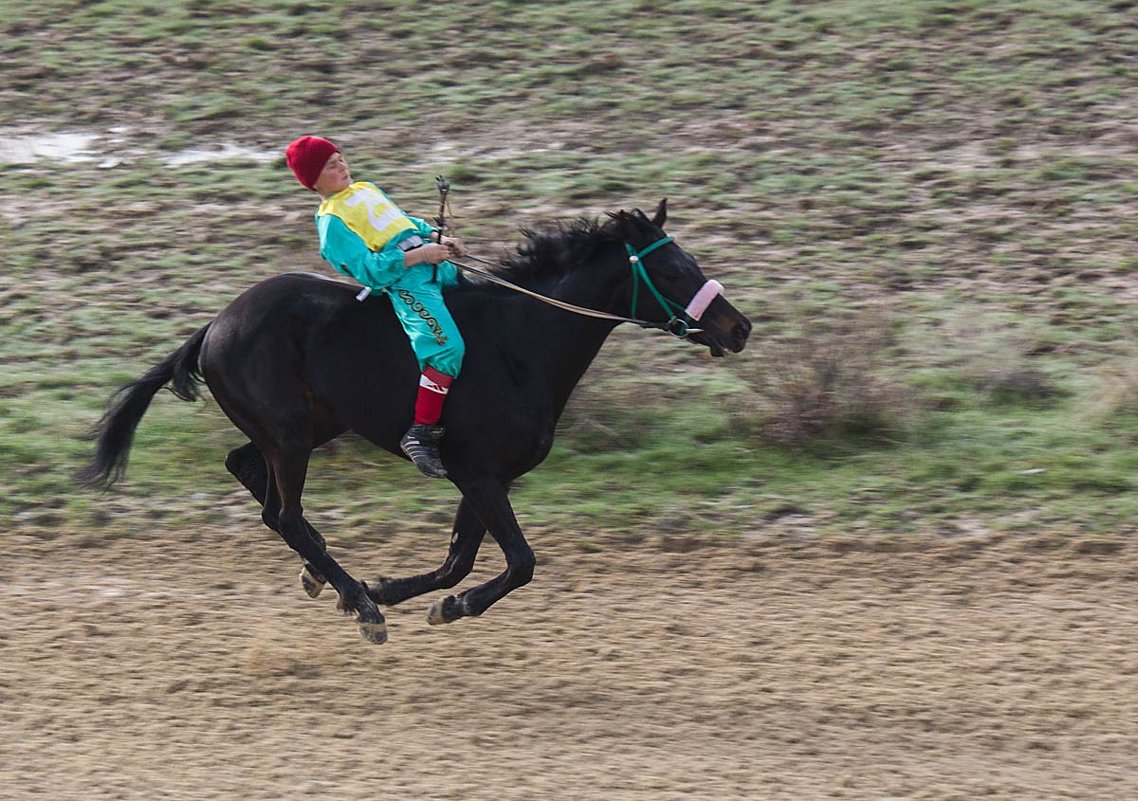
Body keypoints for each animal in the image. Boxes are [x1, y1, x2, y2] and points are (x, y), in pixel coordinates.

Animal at [82, 201, 755, 646]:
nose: (738, 327)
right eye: (673, 270)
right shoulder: (477, 473)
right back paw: (354, 600)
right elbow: (520, 562)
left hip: (308, 427)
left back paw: (329, 577)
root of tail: (215, 325)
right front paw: (430, 604)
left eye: (689, 260)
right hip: (291, 436)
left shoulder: (489, 477)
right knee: (282, 514)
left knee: (245, 469)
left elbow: (459, 560)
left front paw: (395, 590)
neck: (521, 343)